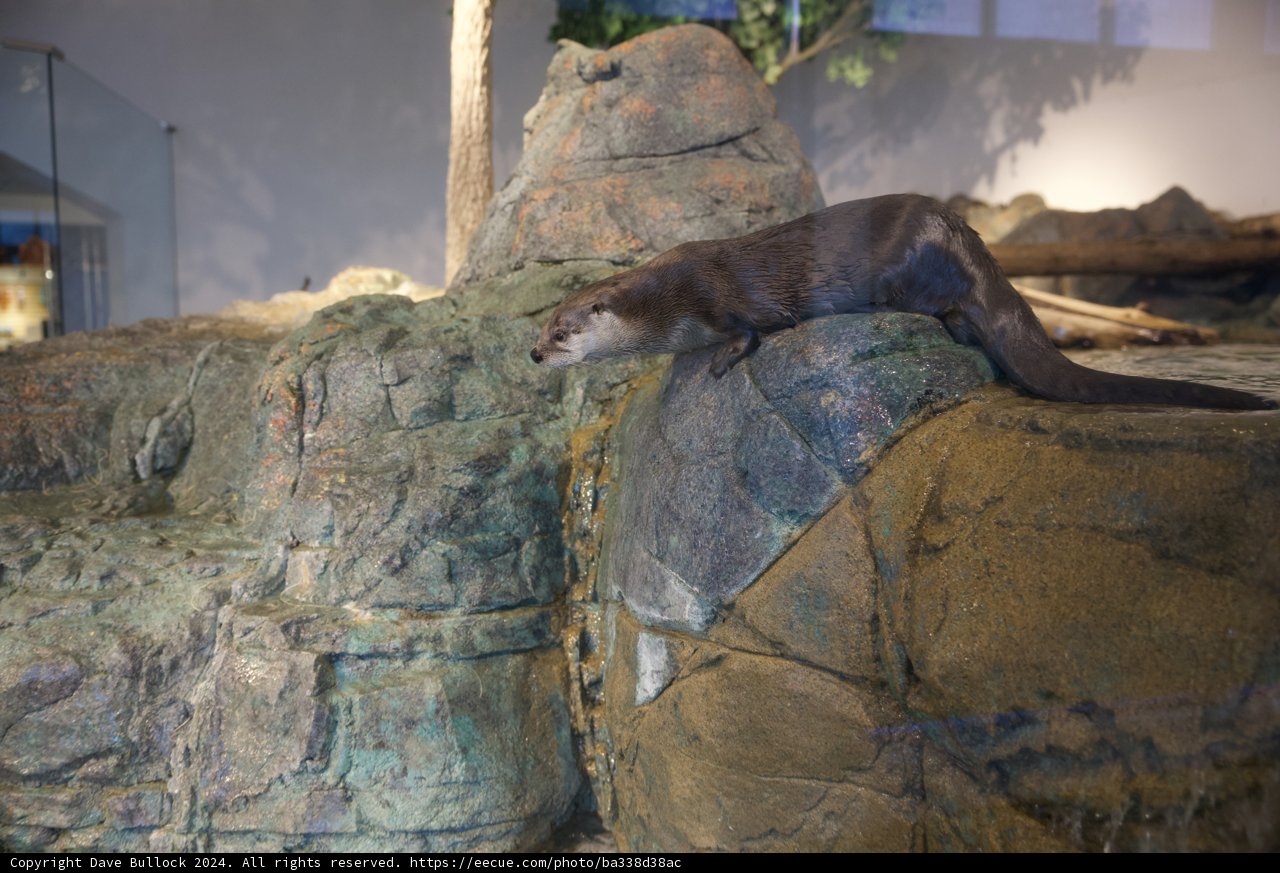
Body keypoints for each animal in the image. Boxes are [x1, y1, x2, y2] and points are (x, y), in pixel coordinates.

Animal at [531, 194, 1275, 410]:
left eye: (563, 330)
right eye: (542, 326)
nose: (535, 354)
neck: (666, 297)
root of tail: (965, 236)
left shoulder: (721, 293)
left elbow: (751, 328)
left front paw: (720, 360)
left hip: (902, 269)